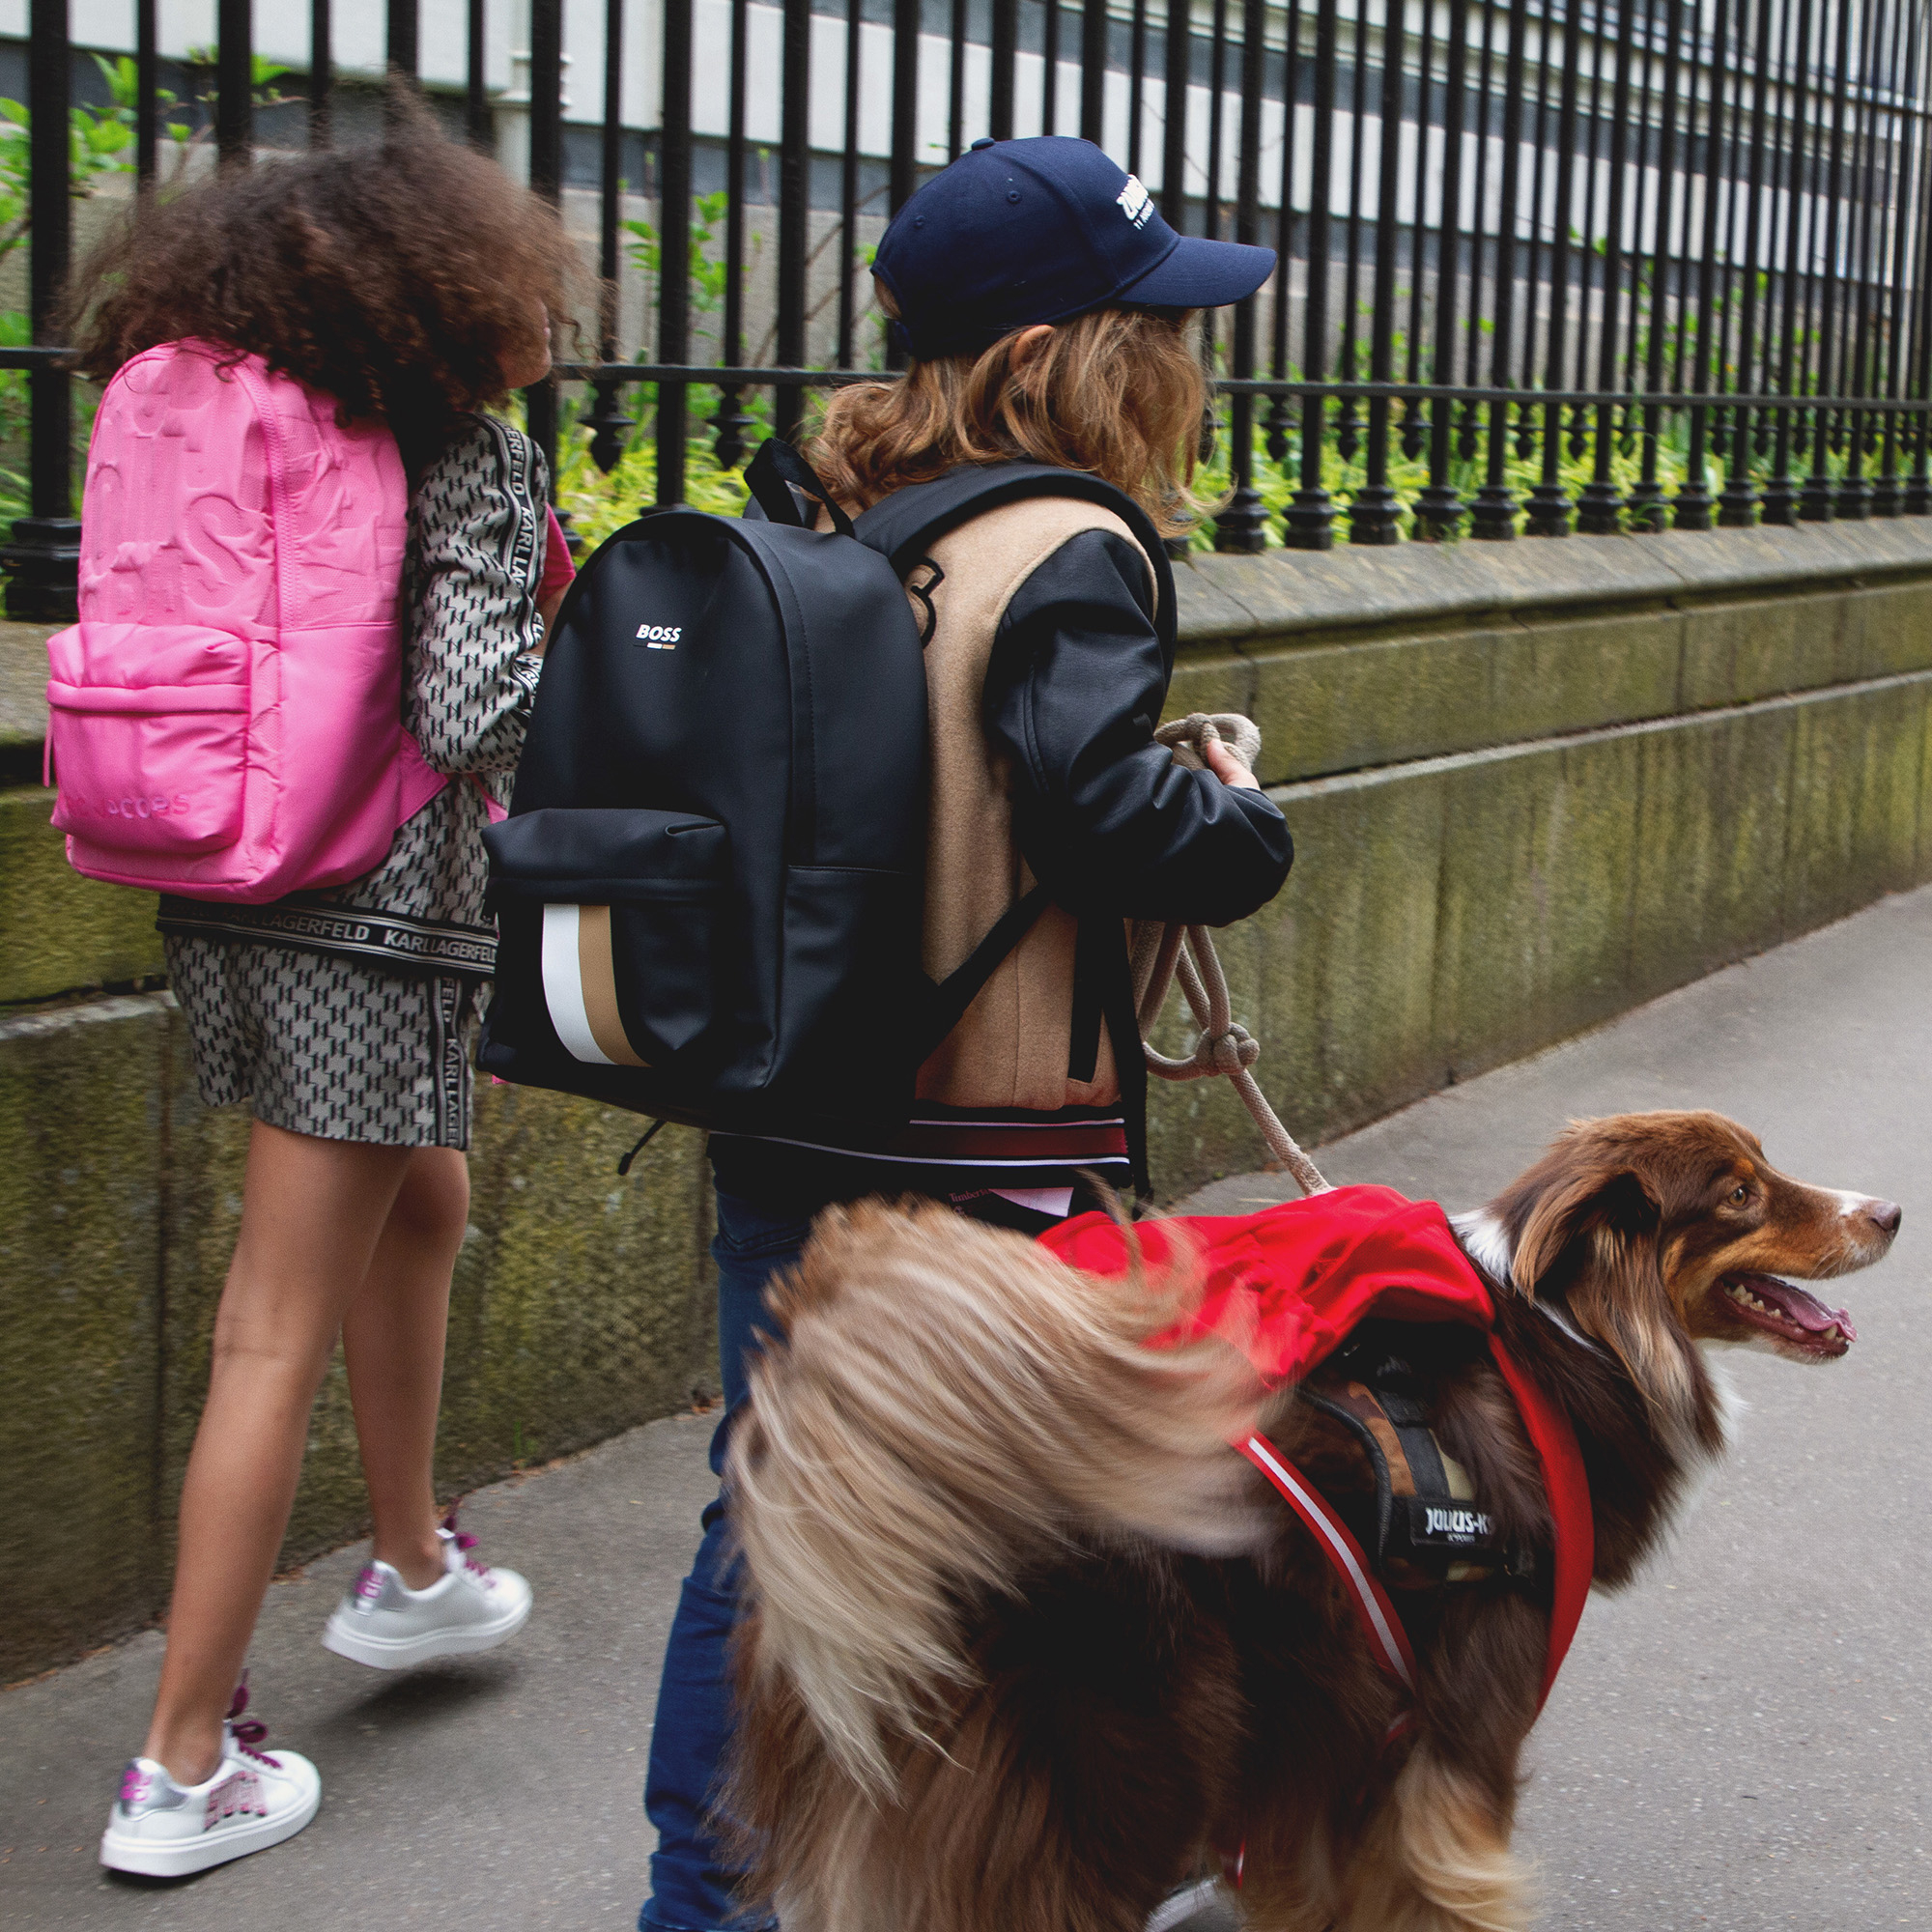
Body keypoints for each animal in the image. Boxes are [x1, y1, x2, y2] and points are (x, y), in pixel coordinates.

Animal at [726, 1113, 1901, 1932]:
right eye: (1741, 1192)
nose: (1889, 1211)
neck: (1571, 1334)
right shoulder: (1455, 1748)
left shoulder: (1320, 1766)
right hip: (1109, 1794)